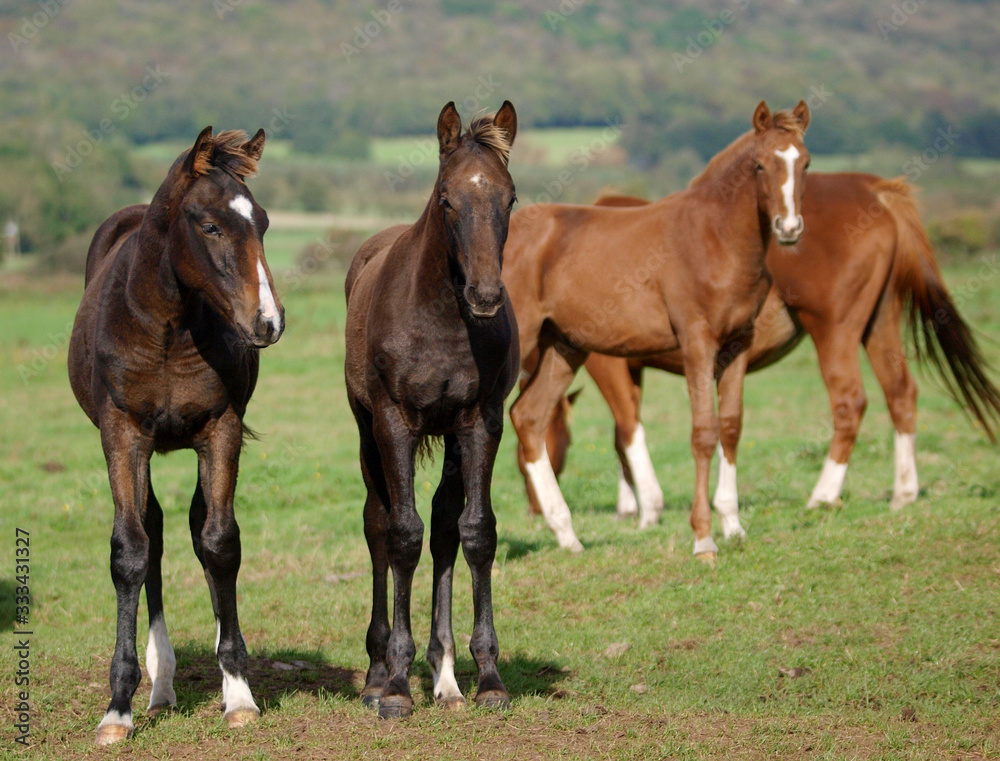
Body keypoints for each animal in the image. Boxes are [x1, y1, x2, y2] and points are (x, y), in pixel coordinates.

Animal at [66, 126, 286, 744]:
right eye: (210, 226)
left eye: (262, 222)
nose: (268, 322)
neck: (167, 329)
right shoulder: (123, 435)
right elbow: (130, 551)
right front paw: (117, 708)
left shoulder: (220, 429)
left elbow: (220, 542)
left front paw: (239, 691)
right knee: (155, 534)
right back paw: (159, 683)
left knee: (192, 528)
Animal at [342, 102, 516, 720]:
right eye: (446, 198)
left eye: (510, 197)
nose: (485, 296)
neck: (441, 316)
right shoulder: (394, 422)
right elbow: (403, 534)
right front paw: (395, 684)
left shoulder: (481, 421)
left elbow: (475, 531)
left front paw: (487, 677)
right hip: (366, 430)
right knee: (378, 522)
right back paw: (376, 674)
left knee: (445, 525)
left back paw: (445, 676)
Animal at [508, 101, 812, 556]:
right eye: (760, 165)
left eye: (805, 163)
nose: (789, 229)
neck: (715, 237)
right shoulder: (697, 343)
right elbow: (703, 432)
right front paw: (703, 538)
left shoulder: (738, 343)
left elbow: (731, 427)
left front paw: (733, 525)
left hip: (563, 347)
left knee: (528, 418)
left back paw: (568, 536)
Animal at [532, 179, 1000, 532]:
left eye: (561, 442)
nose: (534, 509)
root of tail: (874, 189)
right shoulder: (632, 366)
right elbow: (619, 435)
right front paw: (629, 505)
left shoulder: (606, 362)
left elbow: (628, 429)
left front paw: (647, 508)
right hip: (880, 322)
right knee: (901, 392)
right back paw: (903, 492)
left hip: (834, 330)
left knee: (850, 402)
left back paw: (823, 495)